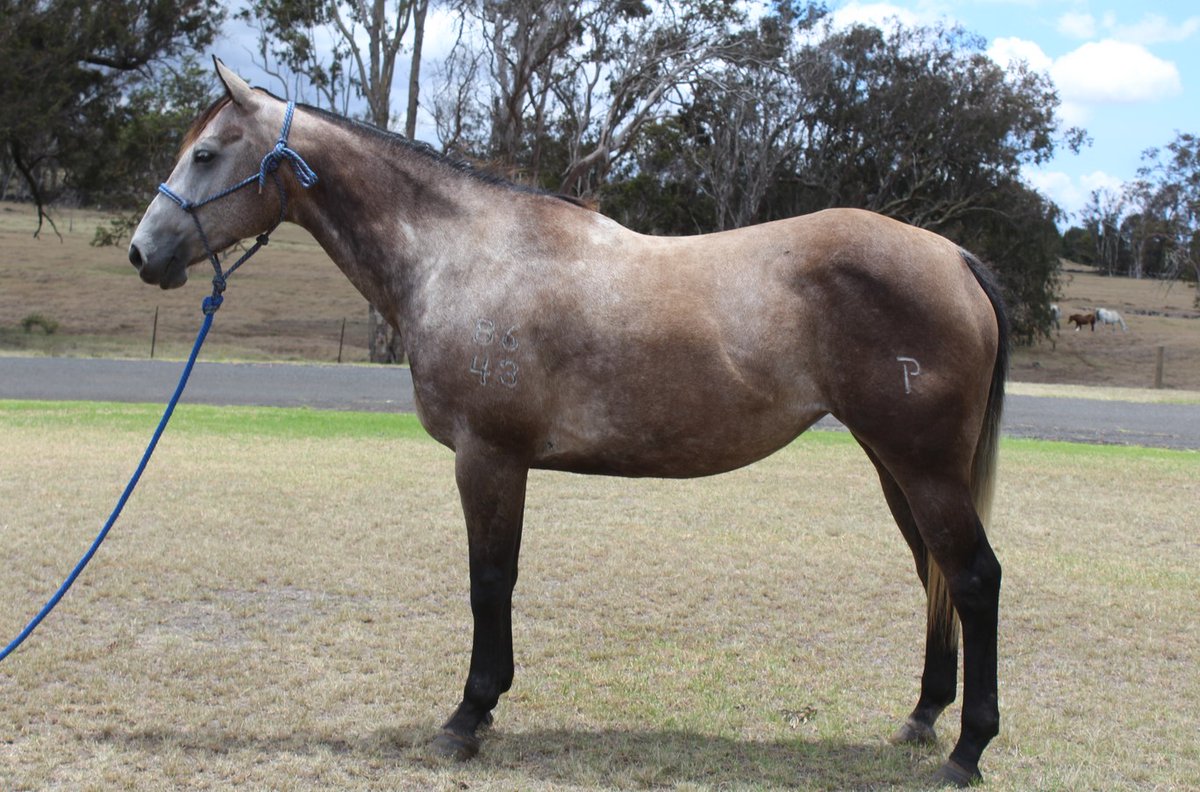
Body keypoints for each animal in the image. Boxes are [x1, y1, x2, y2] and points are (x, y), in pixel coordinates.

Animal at [128, 61, 1008, 787]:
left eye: (207, 154)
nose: (143, 253)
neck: (466, 256)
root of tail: (955, 258)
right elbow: (500, 580)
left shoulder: (488, 457)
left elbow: (489, 580)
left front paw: (467, 718)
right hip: (897, 466)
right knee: (934, 573)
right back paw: (924, 718)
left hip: (923, 466)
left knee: (973, 578)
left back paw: (968, 751)